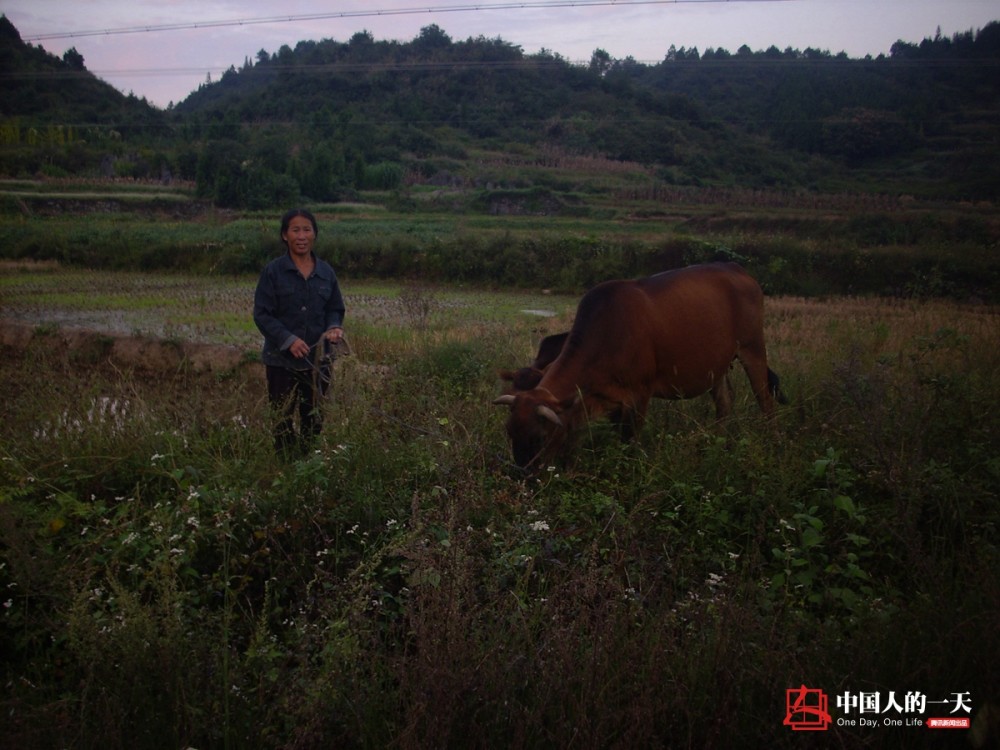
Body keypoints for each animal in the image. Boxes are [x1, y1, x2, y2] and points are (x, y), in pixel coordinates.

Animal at [496, 262, 784, 468]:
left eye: (539, 437)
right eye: (509, 431)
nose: (521, 475)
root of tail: (738, 269)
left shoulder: (640, 396)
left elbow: (629, 441)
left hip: (753, 349)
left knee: (765, 400)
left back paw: (773, 443)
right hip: (717, 365)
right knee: (724, 402)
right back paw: (715, 443)